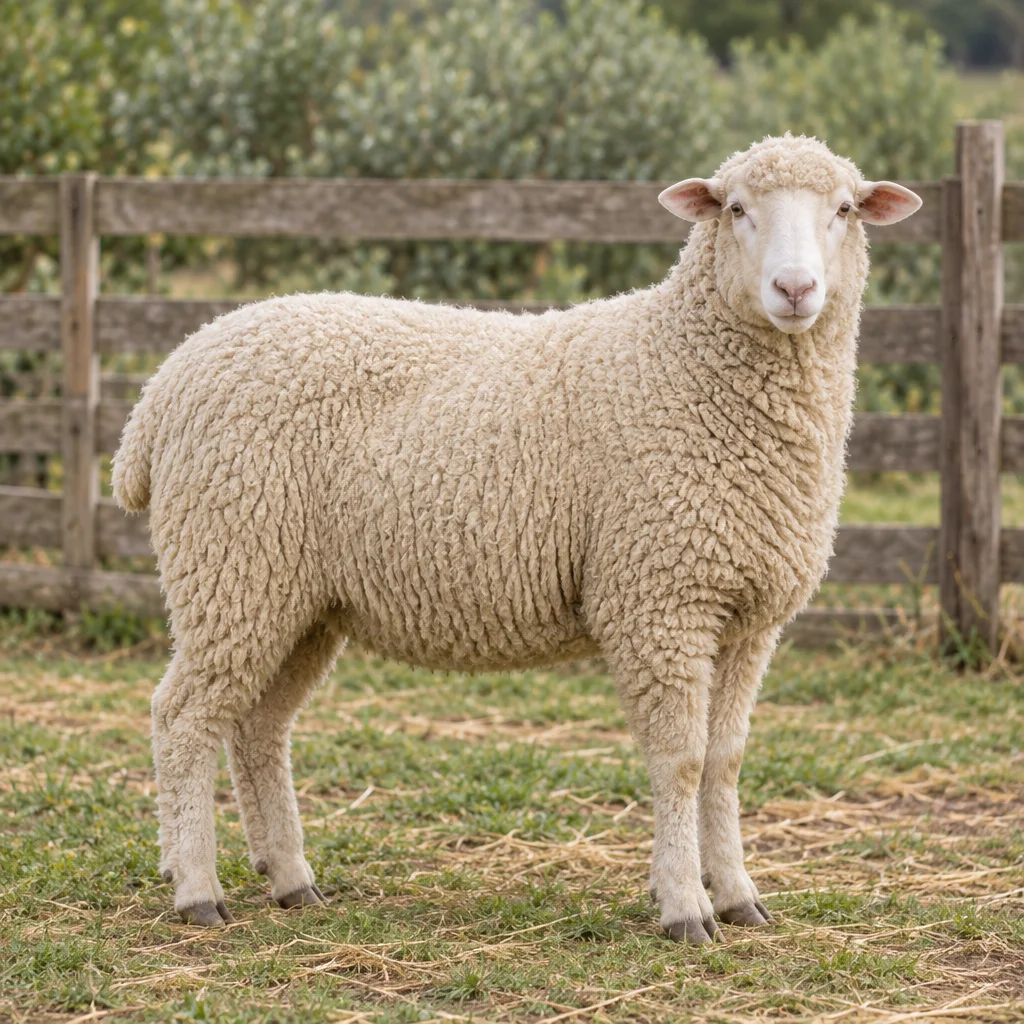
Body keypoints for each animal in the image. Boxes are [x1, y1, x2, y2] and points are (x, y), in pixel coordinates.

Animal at [112, 134, 921, 941]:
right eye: (737, 209)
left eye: (844, 210)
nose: (795, 289)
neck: (686, 364)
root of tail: (162, 388)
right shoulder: (659, 598)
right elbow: (680, 760)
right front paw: (685, 906)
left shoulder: (747, 614)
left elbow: (724, 760)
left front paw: (738, 895)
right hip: (231, 564)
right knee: (181, 719)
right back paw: (197, 890)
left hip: (297, 597)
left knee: (259, 728)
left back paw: (291, 879)